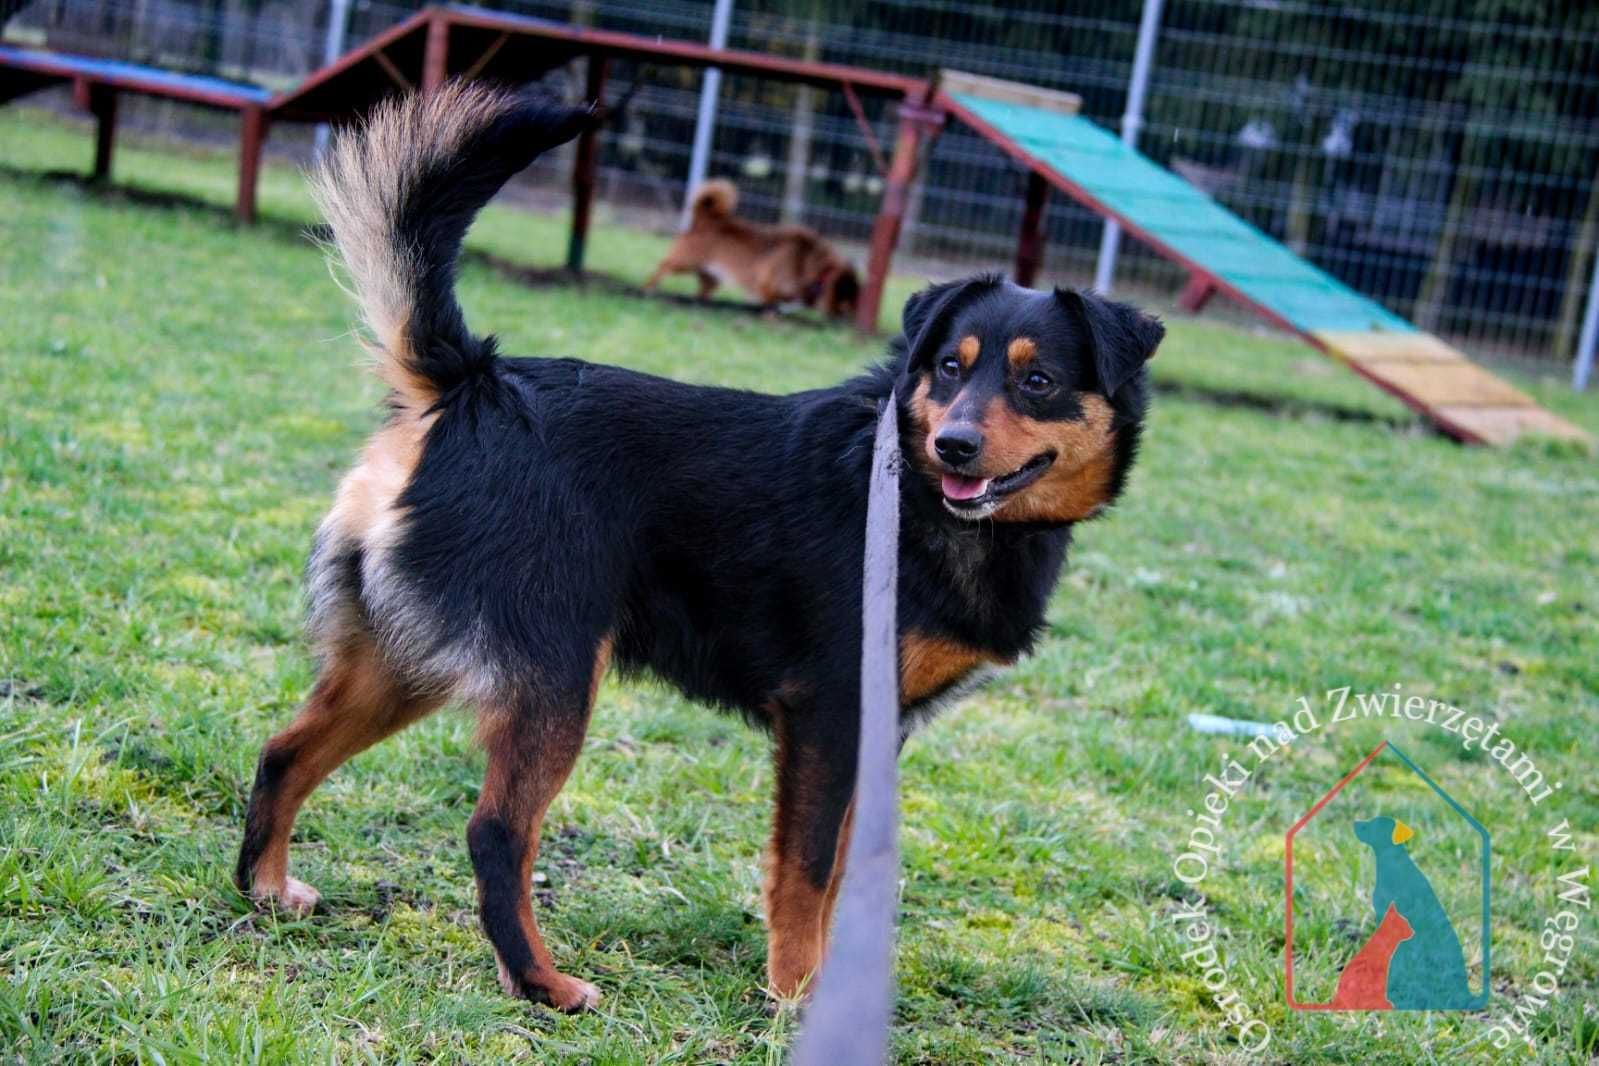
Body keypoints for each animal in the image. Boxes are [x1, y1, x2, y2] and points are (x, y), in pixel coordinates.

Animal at [642, 178, 863, 319]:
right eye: (849, 300)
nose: (852, 318)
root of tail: (709, 220)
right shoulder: (767, 287)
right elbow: (770, 305)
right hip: (684, 262)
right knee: (661, 268)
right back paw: (648, 288)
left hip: (710, 278)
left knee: (703, 291)